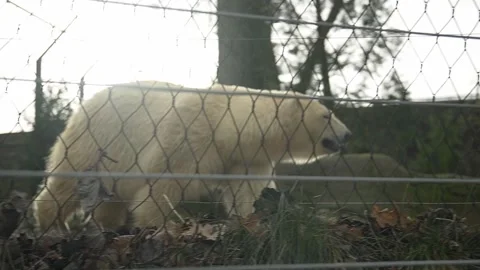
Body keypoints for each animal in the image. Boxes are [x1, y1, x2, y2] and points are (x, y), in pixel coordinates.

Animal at [31, 80, 352, 232]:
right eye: (327, 115)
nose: (348, 134)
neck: (225, 125)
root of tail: (85, 106)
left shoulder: (247, 158)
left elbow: (245, 192)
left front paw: (251, 217)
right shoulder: (188, 139)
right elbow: (163, 187)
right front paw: (155, 226)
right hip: (95, 140)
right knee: (67, 182)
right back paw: (52, 225)